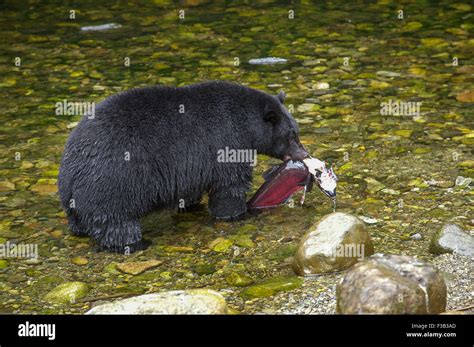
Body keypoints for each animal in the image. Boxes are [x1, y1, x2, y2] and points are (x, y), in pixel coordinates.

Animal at [57, 83, 310, 254]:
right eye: (292, 135)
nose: (305, 154)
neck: (245, 123)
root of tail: (71, 169)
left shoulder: (192, 167)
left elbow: (190, 189)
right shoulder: (227, 144)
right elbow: (229, 185)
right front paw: (238, 213)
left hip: (76, 196)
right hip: (112, 185)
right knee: (116, 223)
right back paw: (136, 243)